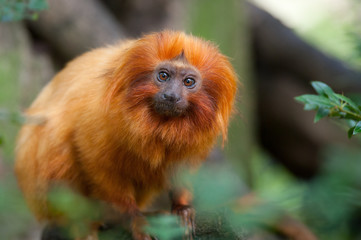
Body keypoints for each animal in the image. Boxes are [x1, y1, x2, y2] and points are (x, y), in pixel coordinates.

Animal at [15, 31, 238, 239]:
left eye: (189, 81)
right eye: (163, 76)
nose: (171, 96)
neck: (157, 125)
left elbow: (182, 167)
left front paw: (182, 207)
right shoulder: (98, 120)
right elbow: (97, 164)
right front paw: (134, 218)